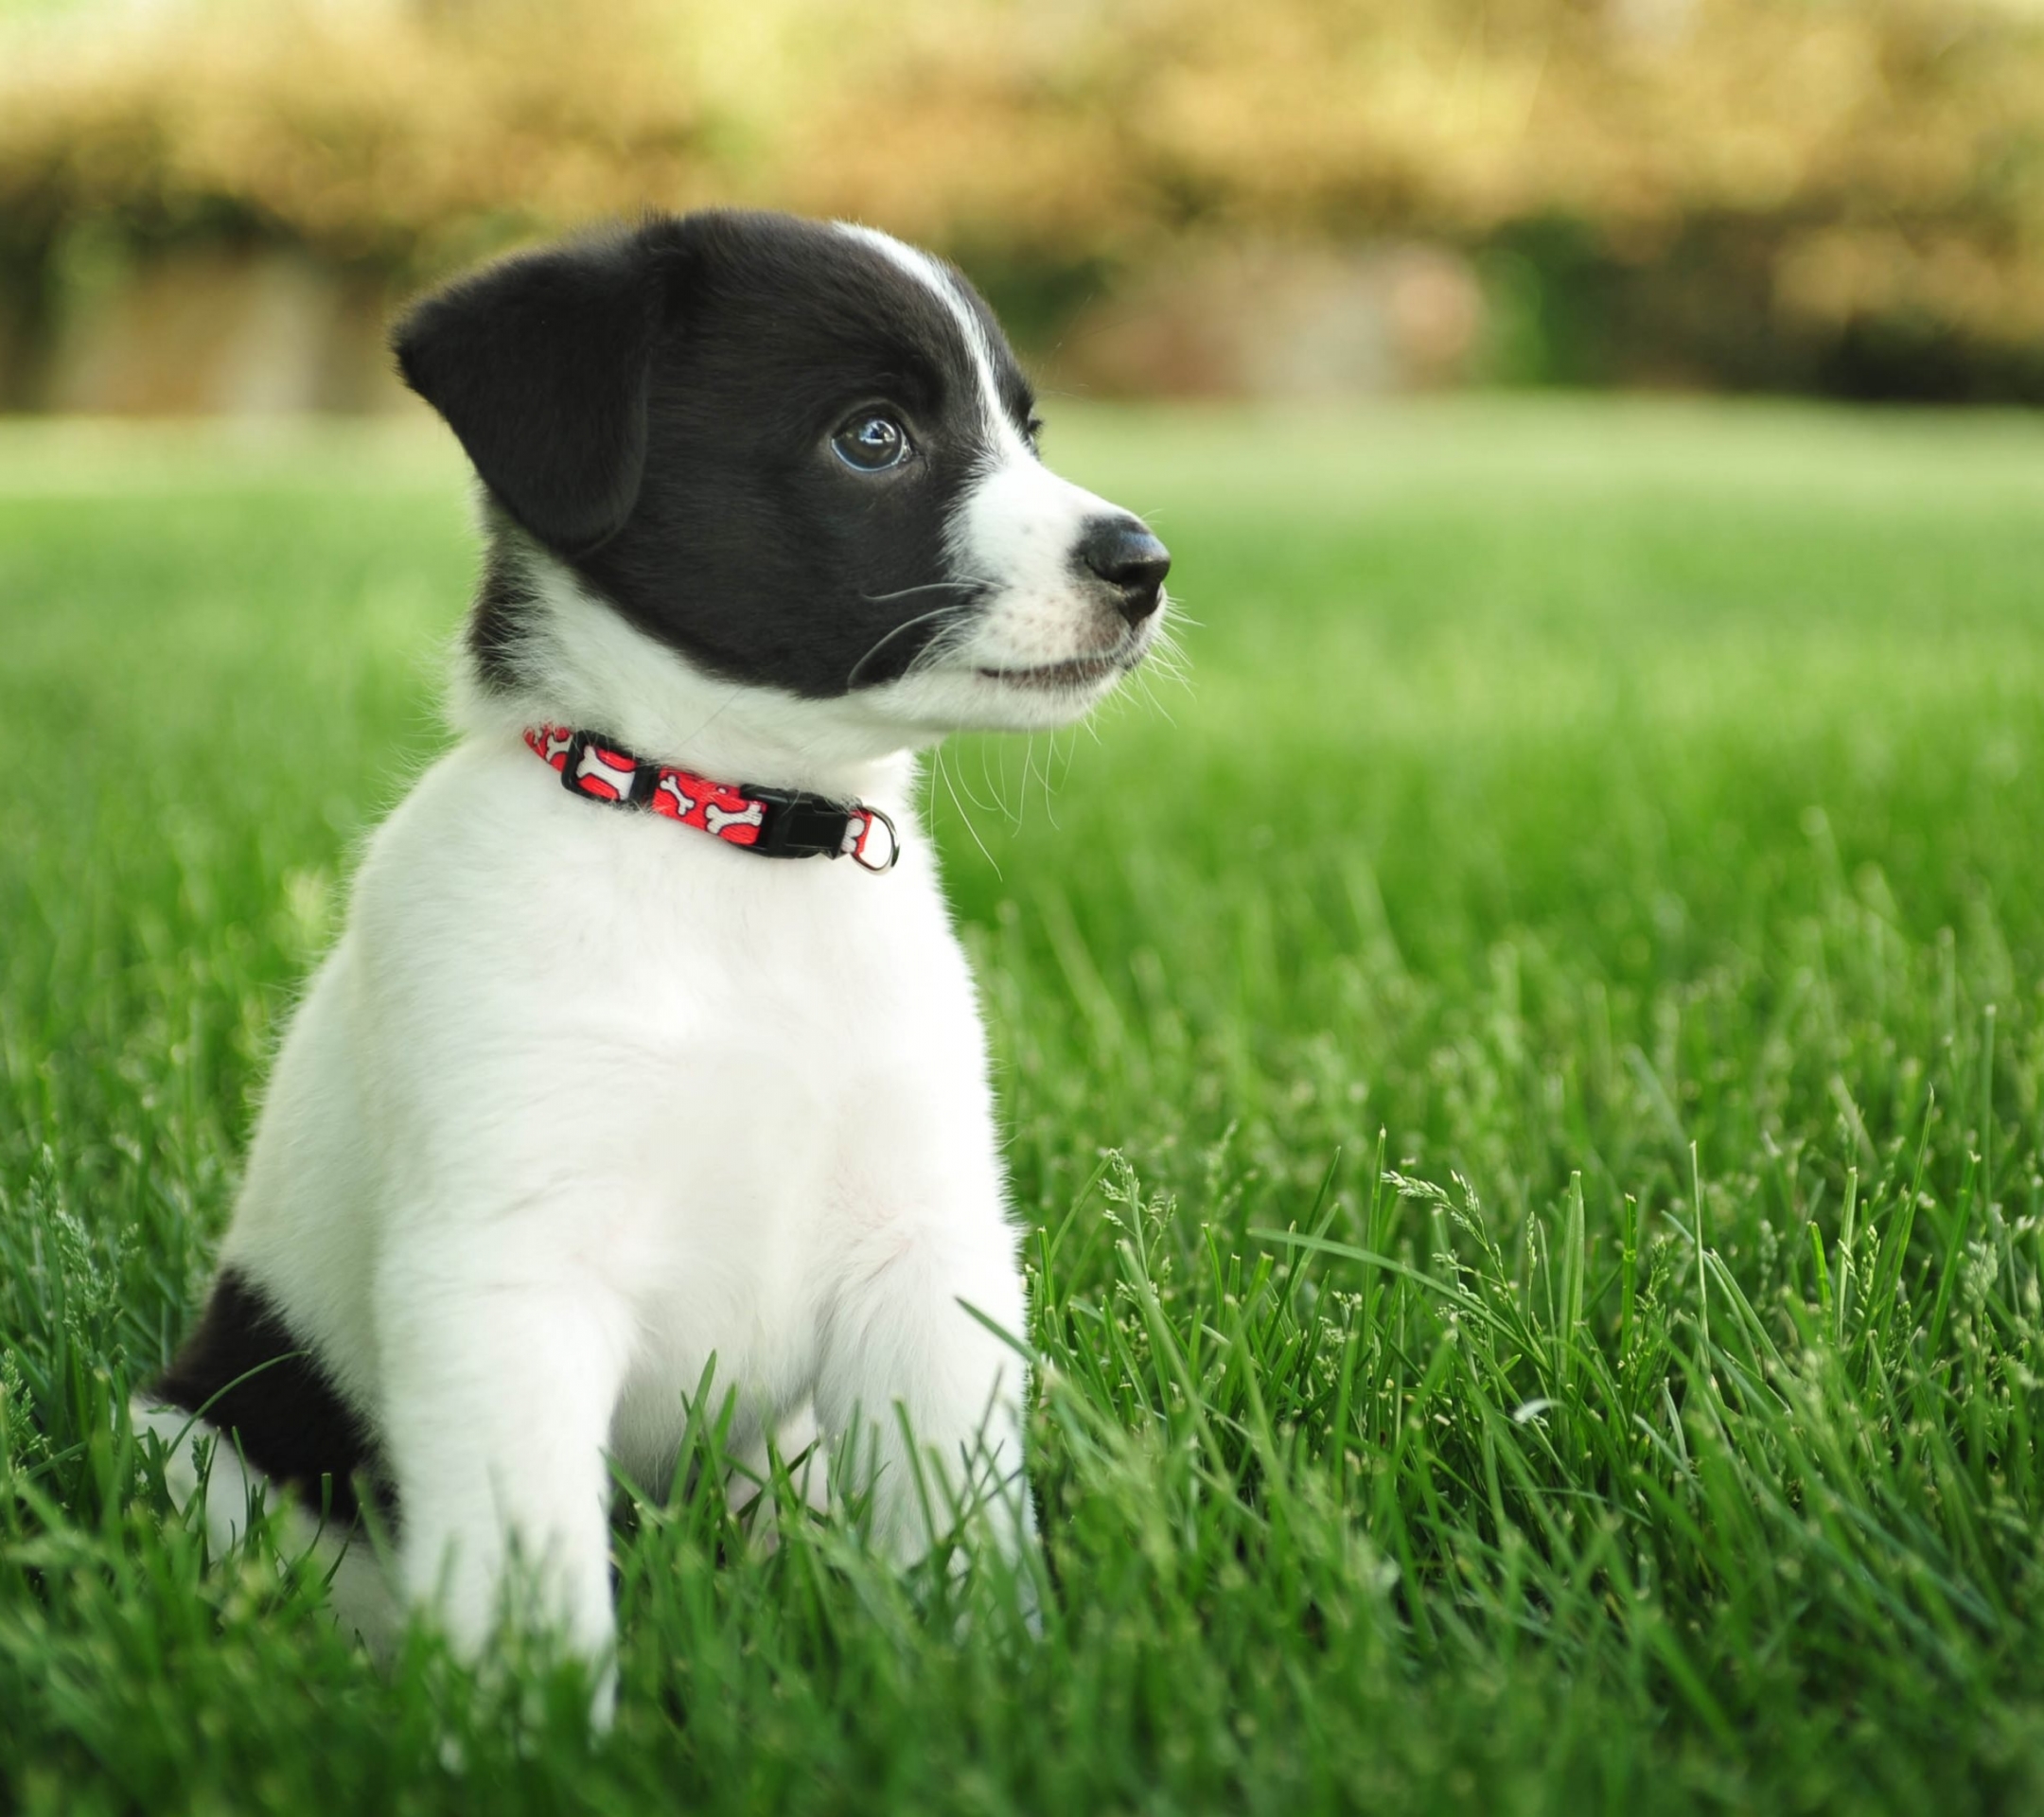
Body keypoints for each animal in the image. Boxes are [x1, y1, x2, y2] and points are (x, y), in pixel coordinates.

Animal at [132, 212, 1169, 1717]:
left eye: (1024, 430)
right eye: (874, 437)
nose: (1144, 565)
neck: (727, 846)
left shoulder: (922, 1250)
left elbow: (960, 1525)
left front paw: (989, 1688)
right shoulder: (506, 1279)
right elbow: (529, 1578)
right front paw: (539, 1733)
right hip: (200, 1447)